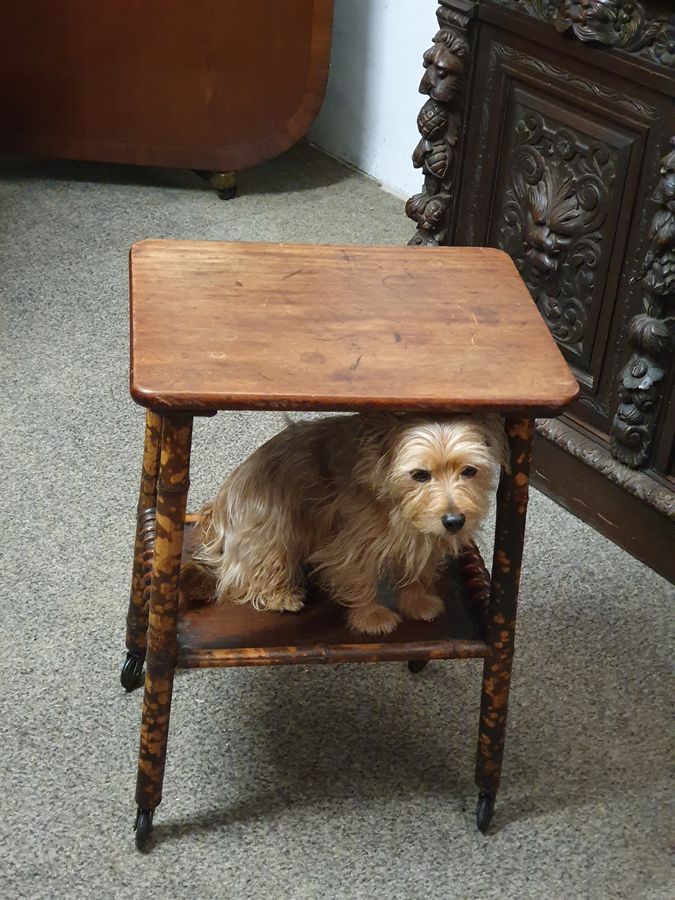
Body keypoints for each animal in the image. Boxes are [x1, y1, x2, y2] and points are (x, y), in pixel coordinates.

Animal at [182, 412, 504, 636]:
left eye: (469, 471)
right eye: (420, 475)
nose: (455, 521)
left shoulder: (424, 536)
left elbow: (418, 570)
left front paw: (417, 602)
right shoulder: (350, 544)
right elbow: (359, 578)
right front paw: (371, 617)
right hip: (271, 529)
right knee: (250, 572)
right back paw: (280, 595)